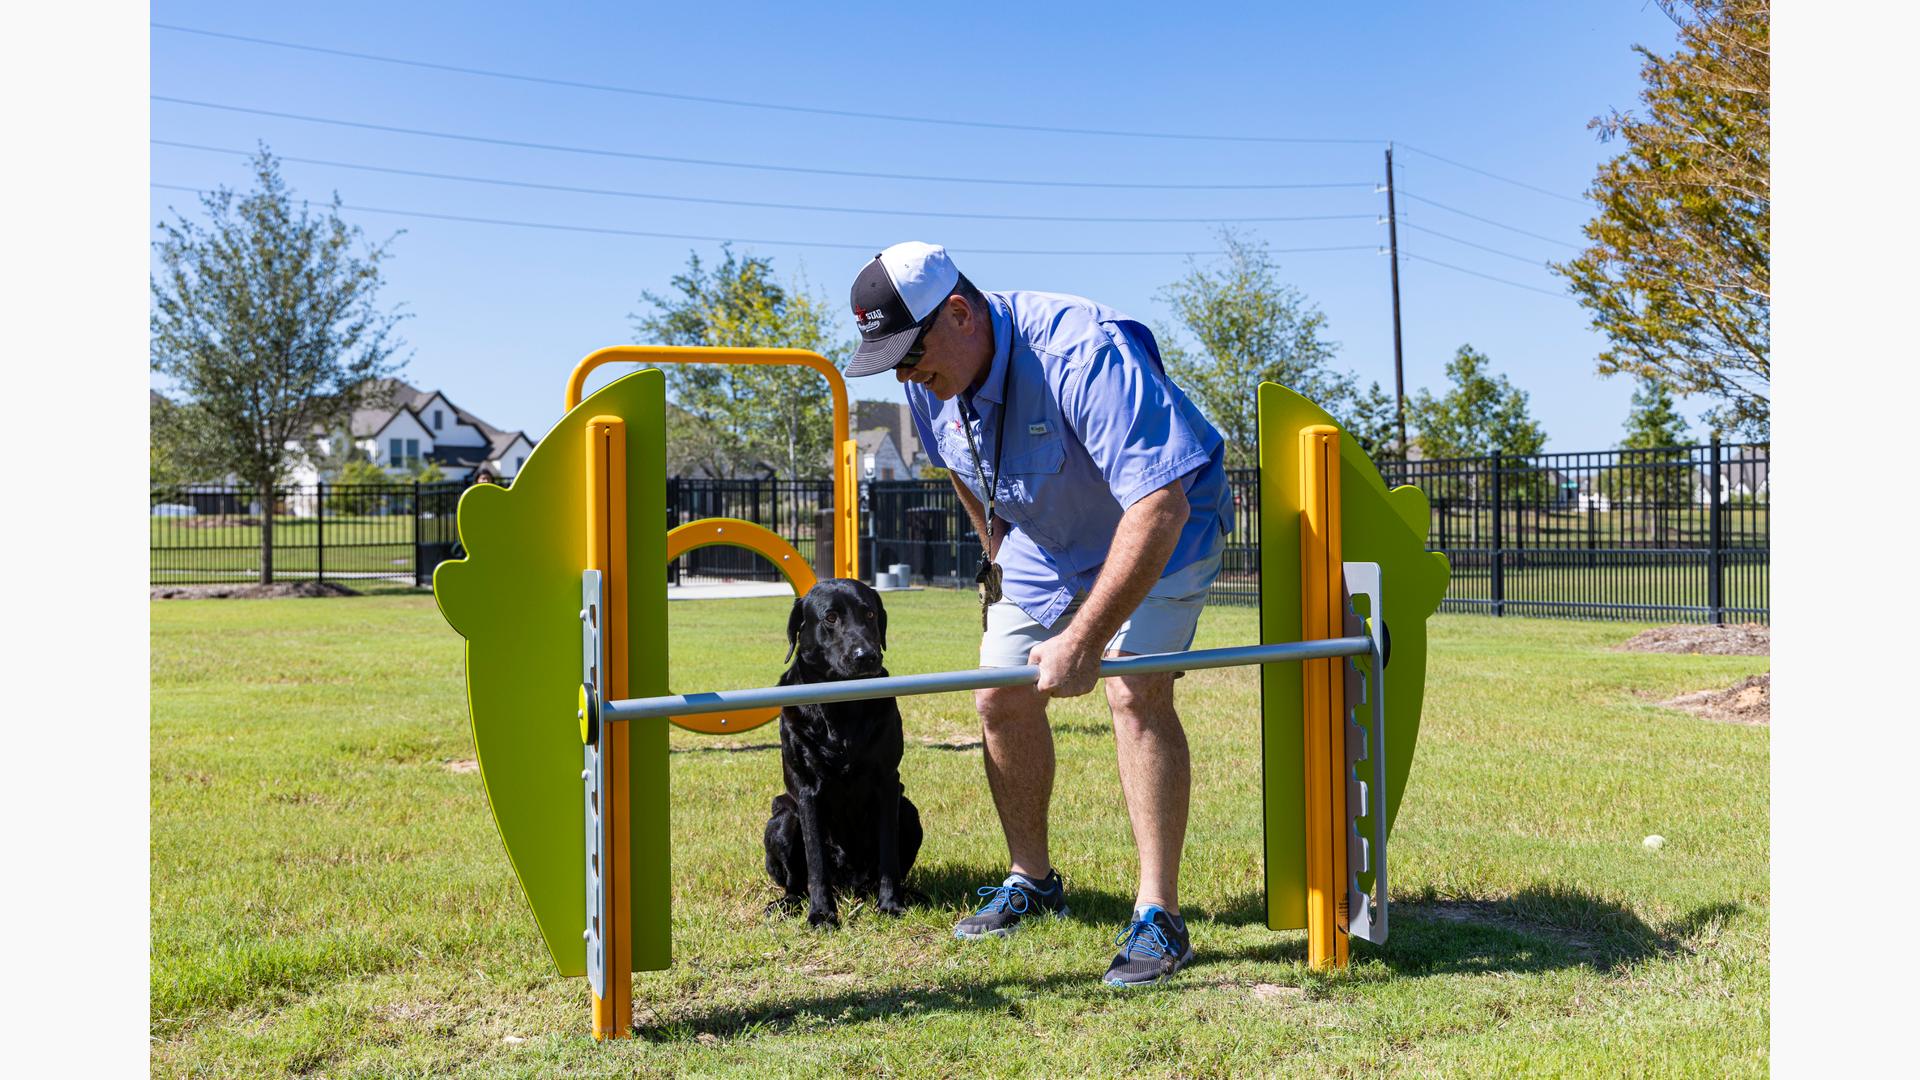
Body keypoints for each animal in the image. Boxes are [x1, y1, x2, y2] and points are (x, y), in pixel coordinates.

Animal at [760, 576, 917, 922]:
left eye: (870, 614)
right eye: (830, 617)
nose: (866, 655)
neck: (841, 711)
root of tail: (850, 883)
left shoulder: (888, 782)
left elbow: (889, 855)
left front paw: (891, 903)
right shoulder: (807, 791)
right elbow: (816, 860)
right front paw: (822, 914)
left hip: (909, 812)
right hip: (782, 819)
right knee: (796, 882)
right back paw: (787, 903)